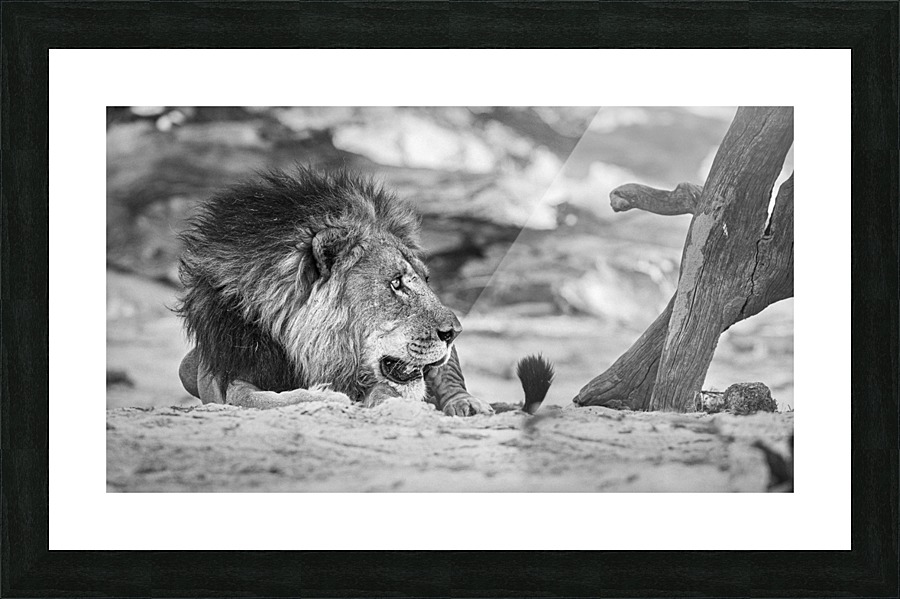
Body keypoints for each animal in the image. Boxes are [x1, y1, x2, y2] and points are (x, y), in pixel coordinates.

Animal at [176, 167, 552, 416]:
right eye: (396, 283)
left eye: (426, 280)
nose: (454, 332)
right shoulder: (231, 369)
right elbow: (246, 398)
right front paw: (325, 397)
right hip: (186, 367)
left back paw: (467, 403)